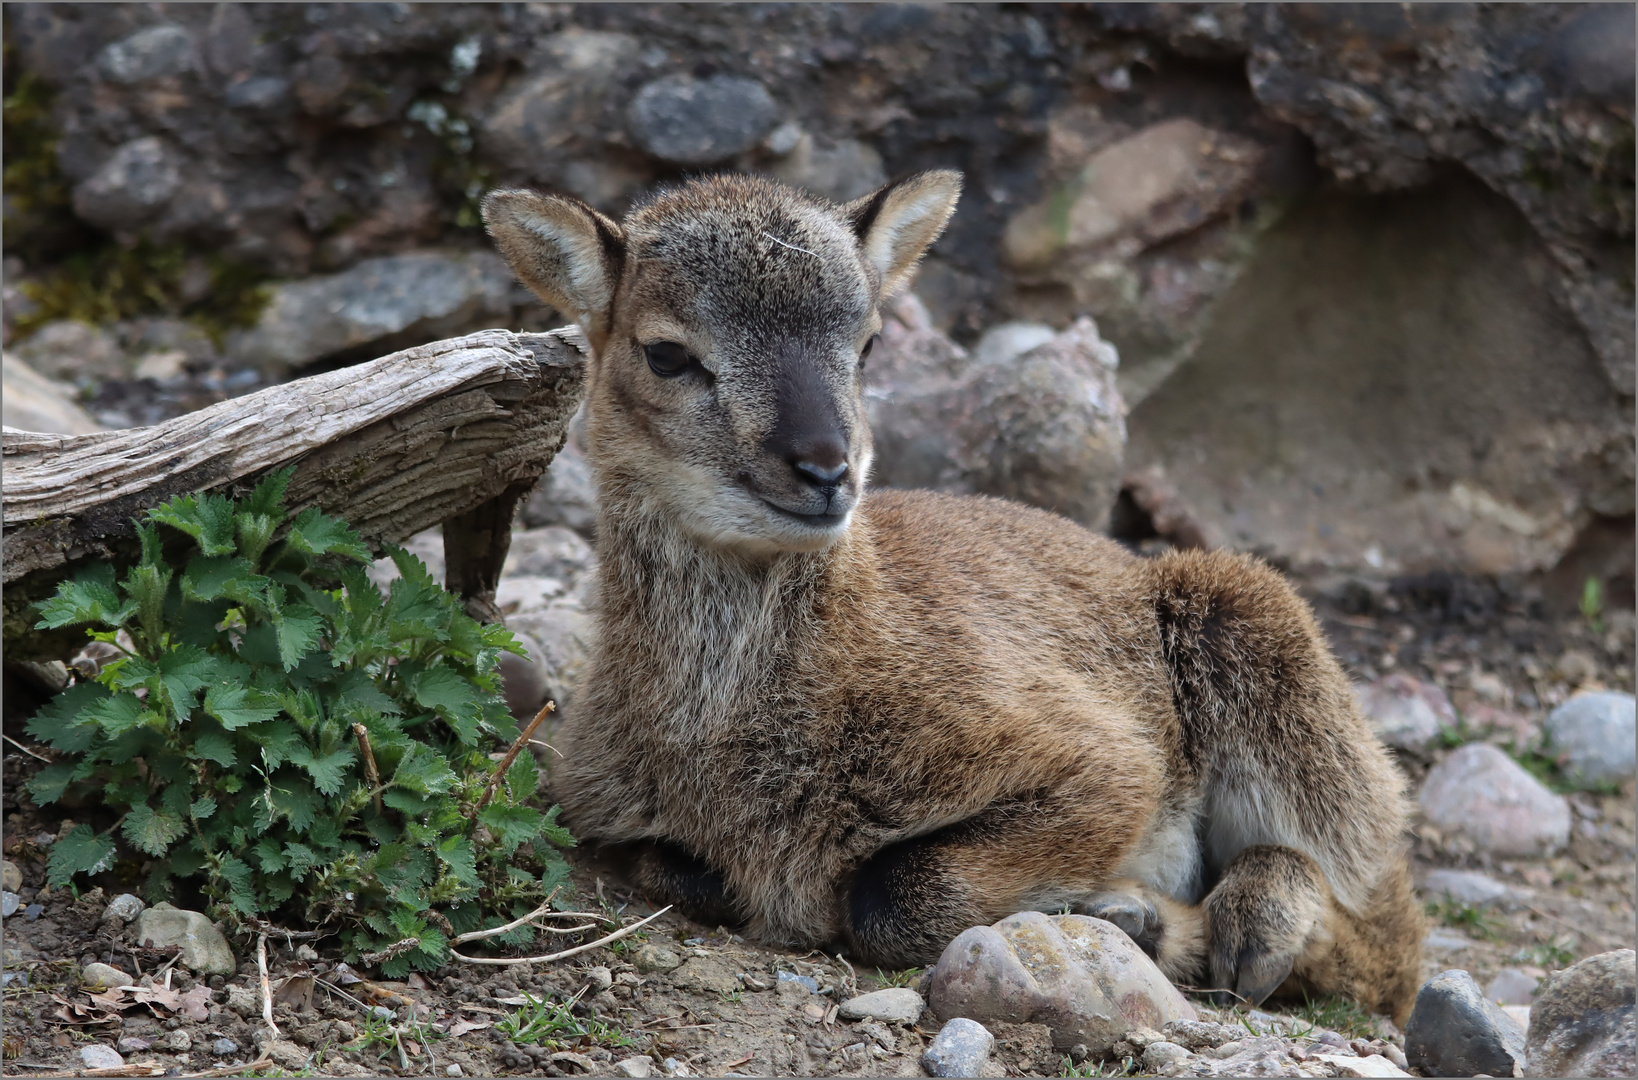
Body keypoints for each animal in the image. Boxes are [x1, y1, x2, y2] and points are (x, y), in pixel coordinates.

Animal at [481, 168, 1421, 1022]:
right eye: (667, 353)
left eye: (867, 343)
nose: (825, 469)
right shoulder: (614, 814)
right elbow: (689, 871)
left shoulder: (1104, 764)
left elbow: (898, 893)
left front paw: (1136, 916)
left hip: (1273, 667)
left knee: (1389, 940)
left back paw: (1220, 927)